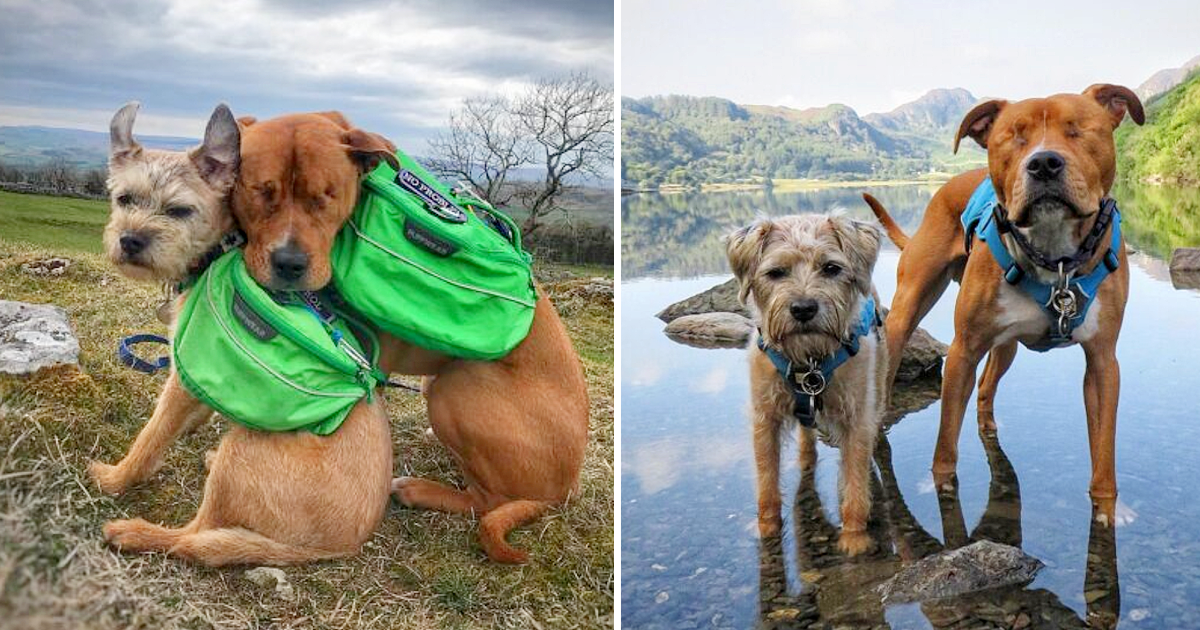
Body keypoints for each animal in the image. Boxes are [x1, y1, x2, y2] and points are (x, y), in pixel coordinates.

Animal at [226, 111, 588, 559]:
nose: (289, 264)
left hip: (458, 386)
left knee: (487, 501)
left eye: (326, 196)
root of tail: (566, 488)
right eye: (261, 191)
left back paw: (419, 490)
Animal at [864, 84, 1142, 525]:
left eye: (1078, 129)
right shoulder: (962, 351)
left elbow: (1104, 451)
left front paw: (1108, 508)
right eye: (1013, 137)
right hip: (907, 311)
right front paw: (941, 488)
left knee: (986, 387)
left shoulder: (1102, 361)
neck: (1055, 261)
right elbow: (945, 445)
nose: (1044, 163)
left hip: (1006, 345)